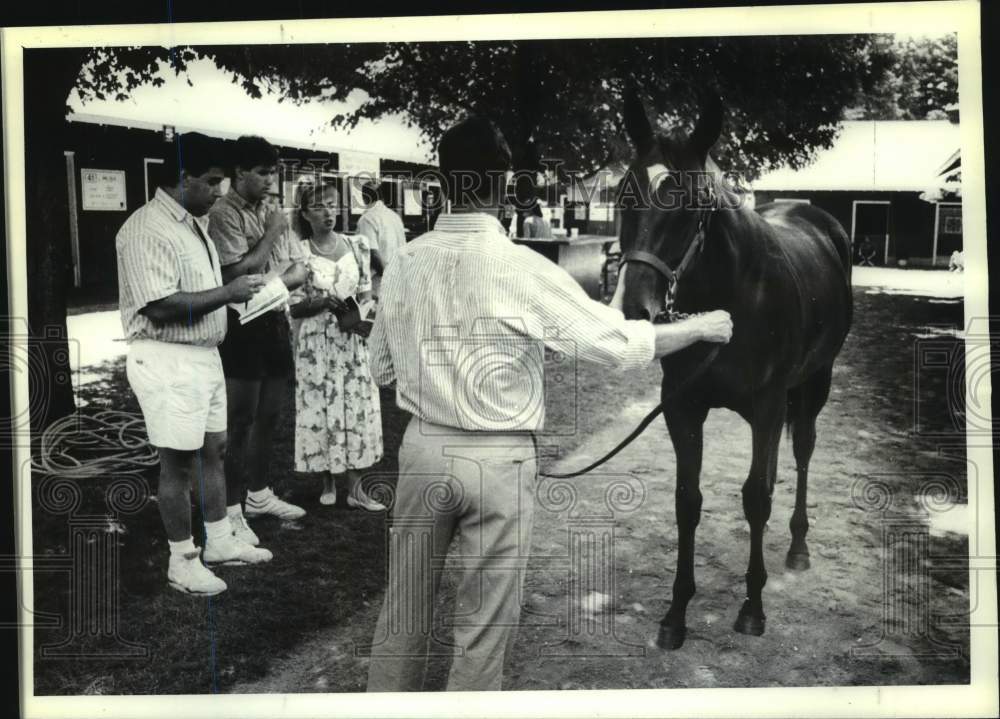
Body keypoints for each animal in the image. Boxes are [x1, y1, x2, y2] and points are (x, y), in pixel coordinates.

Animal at [615, 90, 853, 650]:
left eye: (690, 206)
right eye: (623, 197)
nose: (636, 309)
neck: (734, 296)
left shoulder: (766, 406)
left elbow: (756, 498)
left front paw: (752, 607)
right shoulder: (682, 407)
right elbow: (688, 500)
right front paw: (676, 613)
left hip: (814, 383)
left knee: (801, 450)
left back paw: (797, 548)